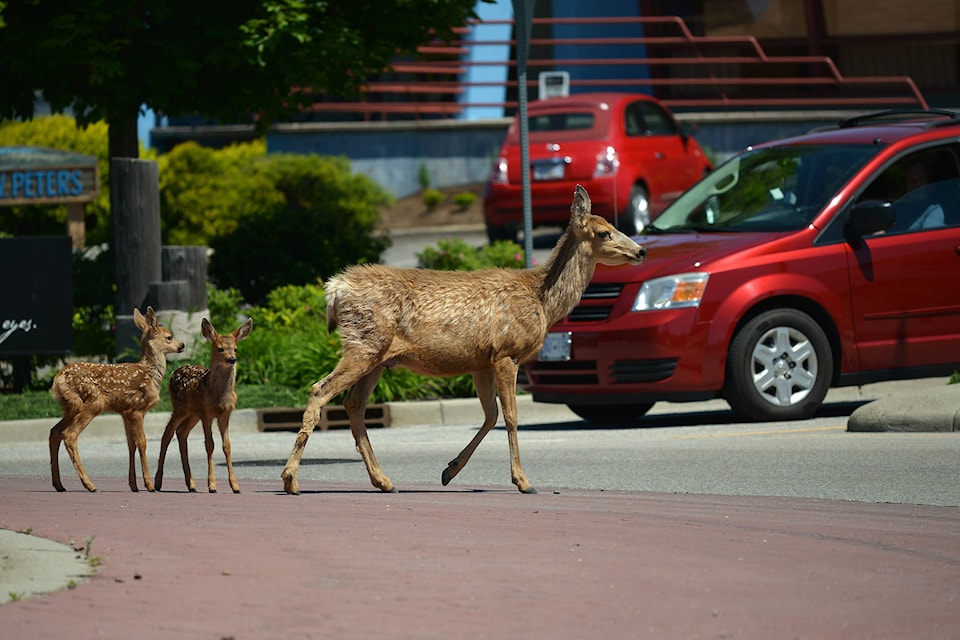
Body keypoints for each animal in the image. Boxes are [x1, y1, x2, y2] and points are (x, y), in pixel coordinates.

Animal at [51, 308, 188, 492]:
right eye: (169, 337)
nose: (182, 345)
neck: (150, 373)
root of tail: (58, 378)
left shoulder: (125, 412)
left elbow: (131, 444)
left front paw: (133, 485)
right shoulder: (137, 409)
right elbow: (142, 443)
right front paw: (149, 484)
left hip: (70, 406)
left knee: (55, 432)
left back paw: (59, 484)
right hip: (93, 402)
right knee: (69, 434)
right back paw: (90, 485)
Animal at [154, 318, 253, 492]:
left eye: (235, 348)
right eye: (220, 348)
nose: (232, 359)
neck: (219, 397)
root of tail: (174, 372)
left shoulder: (225, 415)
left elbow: (227, 446)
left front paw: (235, 486)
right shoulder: (207, 413)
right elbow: (210, 444)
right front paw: (212, 485)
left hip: (193, 414)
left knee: (181, 432)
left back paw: (191, 483)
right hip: (179, 408)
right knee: (167, 433)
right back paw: (158, 482)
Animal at [282, 185, 648, 496]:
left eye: (614, 225)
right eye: (605, 232)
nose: (641, 250)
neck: (541, 299)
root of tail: (334, 289)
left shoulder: (481, 363)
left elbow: (490, 416)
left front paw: (450, 470)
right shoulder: (506, 353)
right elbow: (511, 417)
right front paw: (523, 481)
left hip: (378, 357)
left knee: (353, 405)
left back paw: (384, 481)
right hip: (364, 343)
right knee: (320, 390)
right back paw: (290, 479)